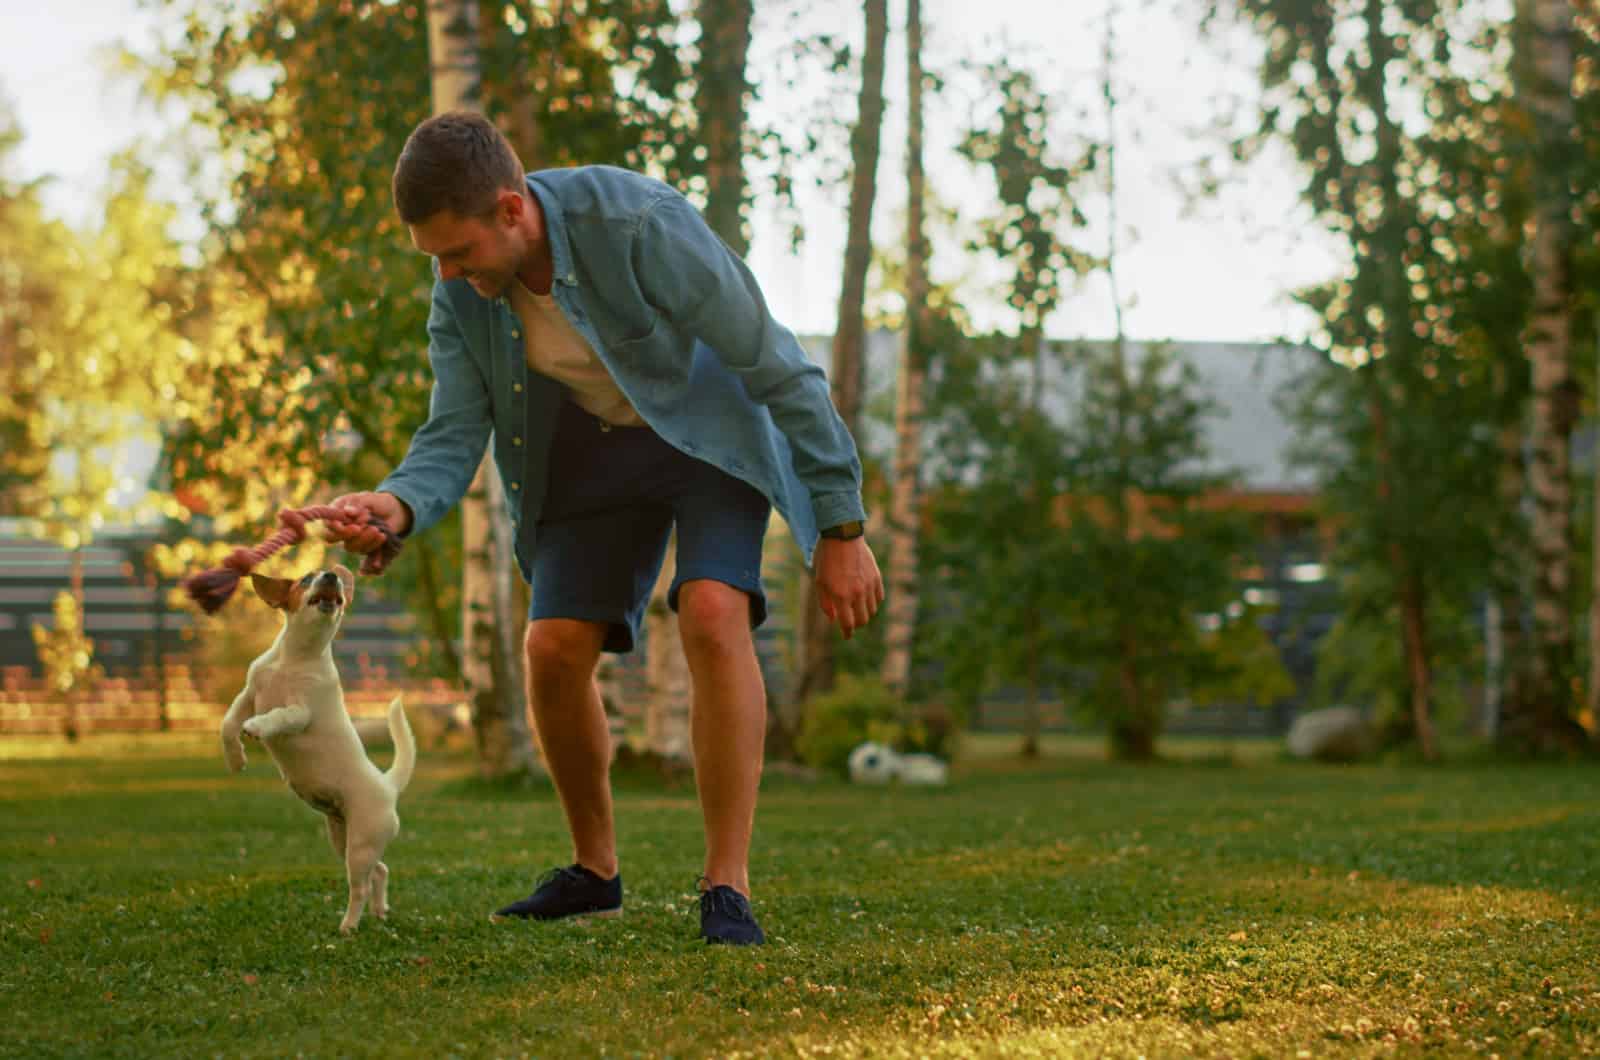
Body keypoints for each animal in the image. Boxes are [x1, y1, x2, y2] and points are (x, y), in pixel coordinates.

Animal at [220, 570, 416, 935]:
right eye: (306, 579)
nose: (332, 574)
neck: (295, 658)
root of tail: (388, 785)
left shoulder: (301, 712)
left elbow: (278, 715)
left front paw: (257, 727)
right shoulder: (248, 695)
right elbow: (227, 725)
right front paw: (235, 758)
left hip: (360, 844)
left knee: (360, 887)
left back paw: (349, 925)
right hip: (343, 839)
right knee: (380, 871)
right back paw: (379, 910)